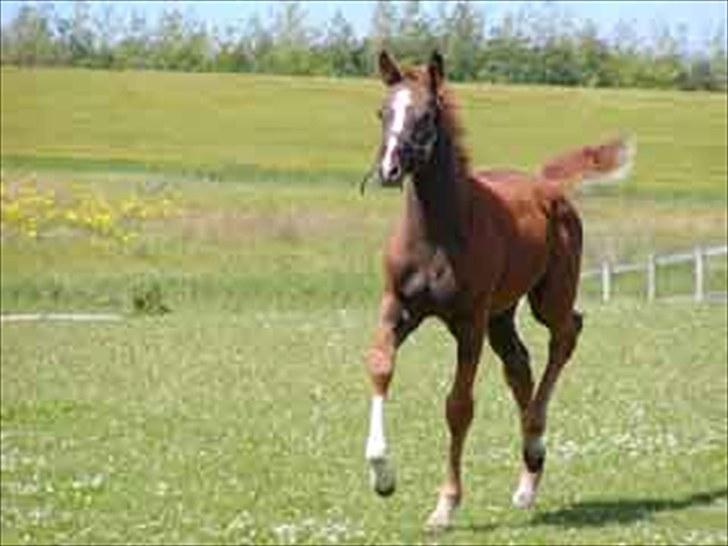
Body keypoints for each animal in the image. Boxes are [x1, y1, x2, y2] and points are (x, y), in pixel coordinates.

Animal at [364, 50, 632, 528]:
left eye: (426, 116)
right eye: (383, 111)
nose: (389, 170)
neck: (437, 234)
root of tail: (547, 184)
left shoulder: (468, 321)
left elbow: (458, 407)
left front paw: (445, 505)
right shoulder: (397, 307)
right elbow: (379, 366)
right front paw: (382, 475)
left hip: (546, 298)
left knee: (566, 333)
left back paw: (536, 441)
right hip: (501, 314)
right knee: (519, 365)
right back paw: (528, 477)